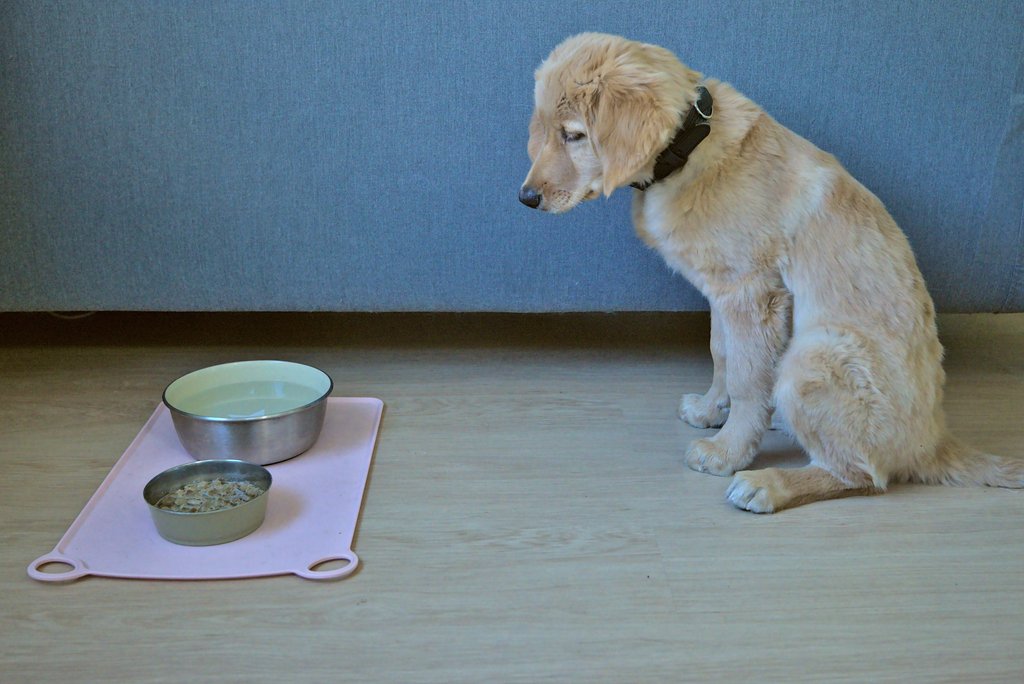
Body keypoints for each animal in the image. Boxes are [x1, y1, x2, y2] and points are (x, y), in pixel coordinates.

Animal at [520, 33, 1024, 511]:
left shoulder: (751, 291)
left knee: (864, 474)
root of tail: (933, 442)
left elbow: (747, 378)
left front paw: (728, 452)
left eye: (573, 135)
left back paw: (768, 484)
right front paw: (711, 410)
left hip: (813, 357)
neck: (689, 149)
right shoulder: (721, 291)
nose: (526, 199)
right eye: (544, 131)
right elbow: (722, 355)